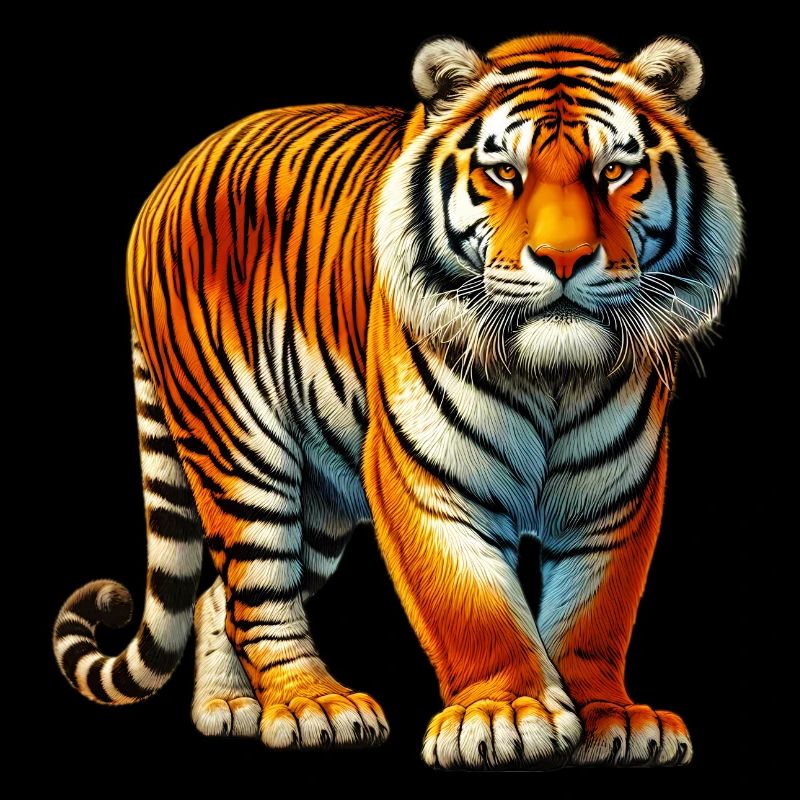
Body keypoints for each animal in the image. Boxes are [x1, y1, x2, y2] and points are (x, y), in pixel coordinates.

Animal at [52, 32, 742, 769]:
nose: (564, 258)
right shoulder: (429, 480)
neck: (552, 374)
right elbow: (472, 606)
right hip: (238, 448)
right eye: (504, 171)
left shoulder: (615, 498)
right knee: (259, 592)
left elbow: (596, 613)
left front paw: (612, 719)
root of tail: (173, 174)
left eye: (614, 170)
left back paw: (228, 708)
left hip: (321, 501)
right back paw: (313, 704)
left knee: (220, 596)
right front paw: (505, 715)